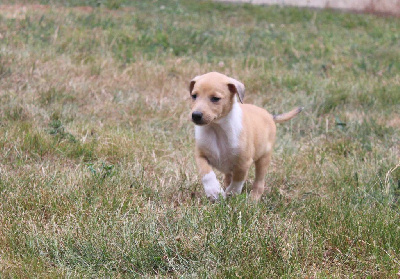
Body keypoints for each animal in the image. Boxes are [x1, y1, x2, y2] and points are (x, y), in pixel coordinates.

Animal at [189, 72, 302, 201]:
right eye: (194, 96)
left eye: (215, 98)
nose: (196, 115)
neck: (217, 129)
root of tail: (269, 115)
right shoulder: (200, 156)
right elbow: (206, 173)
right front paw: (214, 191)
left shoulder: (243, 162)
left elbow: (238, 180)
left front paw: (231, 194)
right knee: (228, 176)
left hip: (264, 158)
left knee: (259, 182)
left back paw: (253, 199)